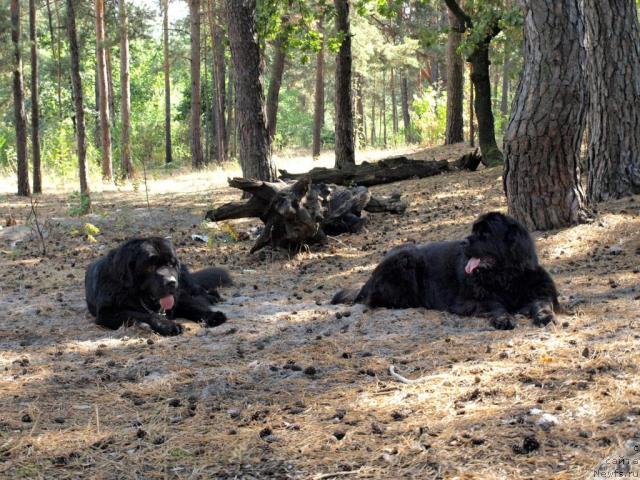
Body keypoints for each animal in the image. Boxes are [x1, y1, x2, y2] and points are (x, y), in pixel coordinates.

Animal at [85, 235, 232, 334]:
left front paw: (211, 315)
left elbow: (192, 306)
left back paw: (212, 297)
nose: (171, 282)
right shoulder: (108, 313)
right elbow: (144, 315)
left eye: (171, 264)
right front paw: (167, 325)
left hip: (184, 280)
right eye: (150, 267)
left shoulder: (179, 297)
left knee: (197, 290)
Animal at [332, 213, 556, 330]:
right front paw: (503, 318)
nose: (463, 241)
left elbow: (542, 302)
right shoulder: (468, 301)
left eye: (485, 234)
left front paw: (544, 315)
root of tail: (369, 279)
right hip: (405, 257)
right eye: (474, 230)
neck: (505, 277)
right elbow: (495, 304)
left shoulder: (538, 289)